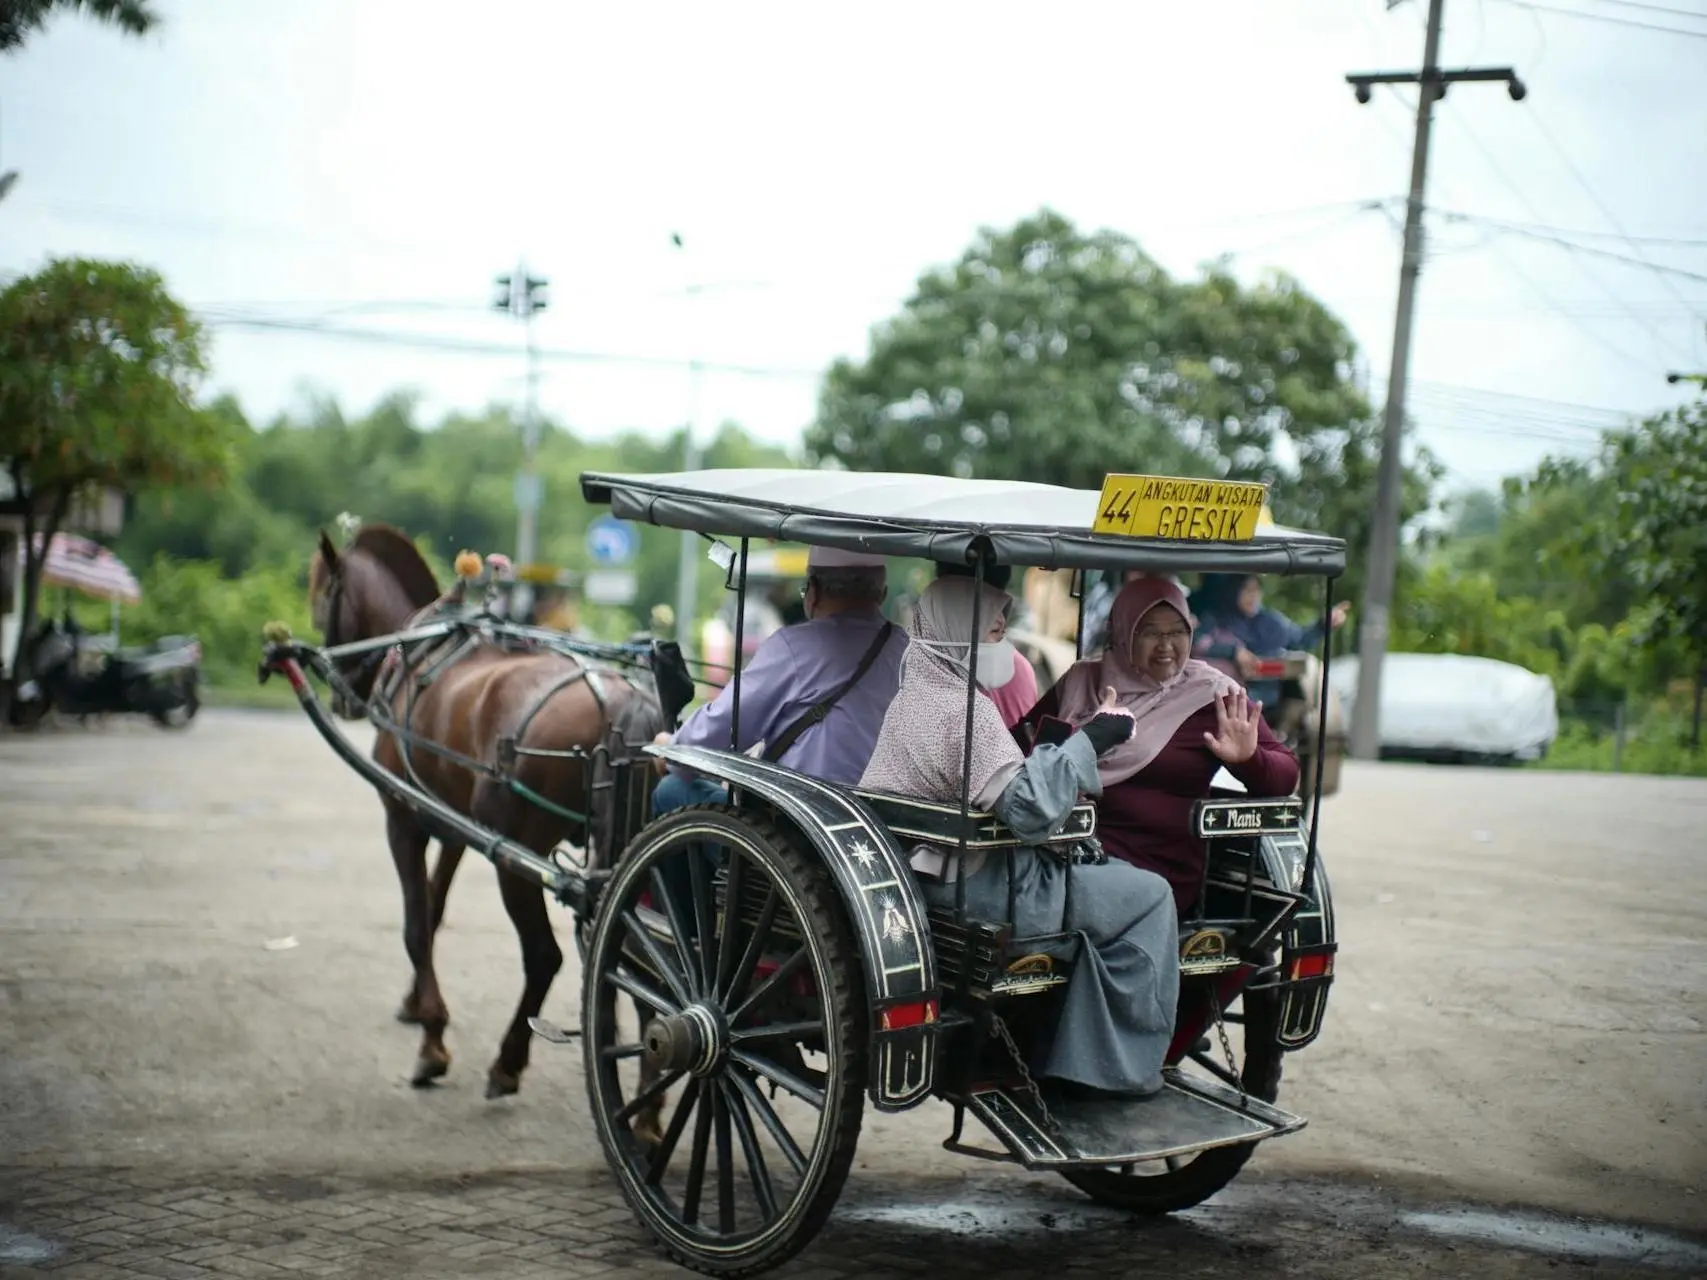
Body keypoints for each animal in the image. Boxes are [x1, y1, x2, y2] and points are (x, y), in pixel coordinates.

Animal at [310, 522, 669, 1105]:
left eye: (321, 594)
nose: (341, 693)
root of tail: (627, 703)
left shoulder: (402, 817)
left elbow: (415, 924)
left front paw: (433, 1044)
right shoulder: (452, 826)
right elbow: (433, 910)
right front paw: (416, 1005)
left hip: (516, 859)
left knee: (546, 957)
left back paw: (510, 1062)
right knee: (644, 971)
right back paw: (650, 1108)